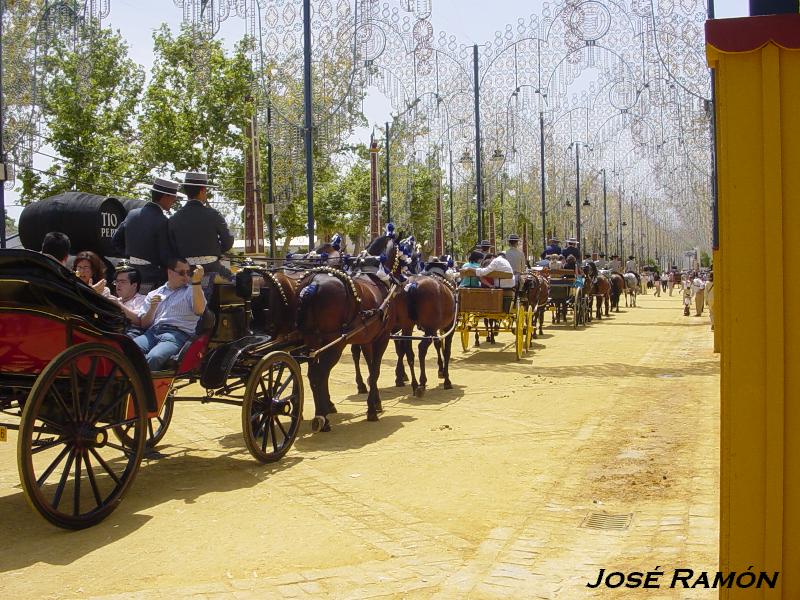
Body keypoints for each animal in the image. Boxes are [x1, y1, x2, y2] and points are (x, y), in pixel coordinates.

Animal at [296, 231, 400, 432]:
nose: (403, 278)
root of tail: (313, 283)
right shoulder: (382, 338)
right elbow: (375, 371)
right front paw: (371, 410)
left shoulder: (367, 339)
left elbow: (370, 370)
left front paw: (375, 402)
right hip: (334, 343)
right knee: (320, 374)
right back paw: (322, 417)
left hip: (313, 342)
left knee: (313, 375)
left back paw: (322, 414)